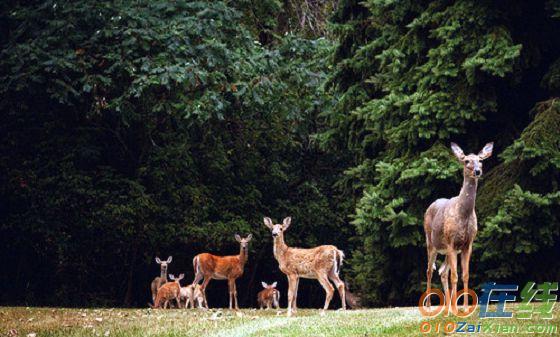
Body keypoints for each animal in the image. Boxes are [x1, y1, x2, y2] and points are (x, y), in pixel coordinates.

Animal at [426, 141, 492, 312]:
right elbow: (455, 276)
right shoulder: (450, 241)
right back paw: (429, 306)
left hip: (449, 250)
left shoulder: (467, 243)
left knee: (442, 272)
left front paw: (465, 307)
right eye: (466, 160)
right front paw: (457, 309)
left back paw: (448, 306)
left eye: (480, 160)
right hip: (431, 243)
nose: (477, 171)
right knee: (429, 270)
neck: (463, 215)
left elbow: (465, 275)